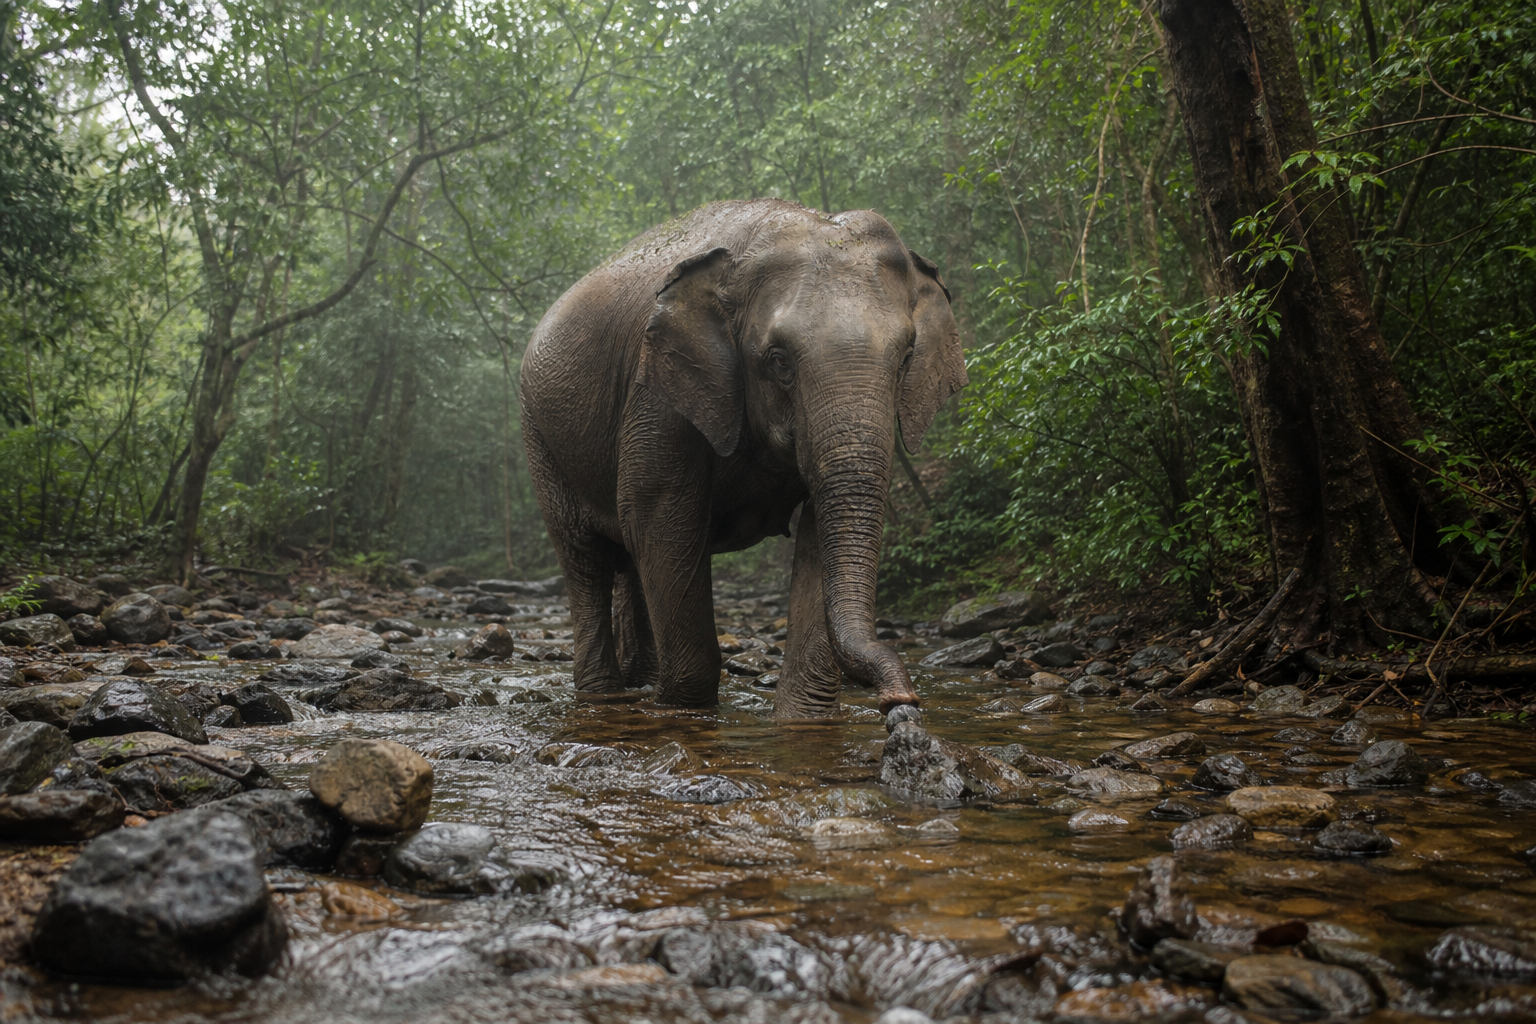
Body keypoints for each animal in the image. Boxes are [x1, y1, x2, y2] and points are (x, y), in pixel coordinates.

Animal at [519, 199, 967, 717]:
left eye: (907, 355)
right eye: (779, 360)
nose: (900, 698)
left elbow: (816, 533)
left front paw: (801, 721)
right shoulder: (658, 393)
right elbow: (659, 515)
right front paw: (684, 709)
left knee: (628, 558)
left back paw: (641, 681)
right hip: (540, 438)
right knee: (585, 557)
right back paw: (602, 694)